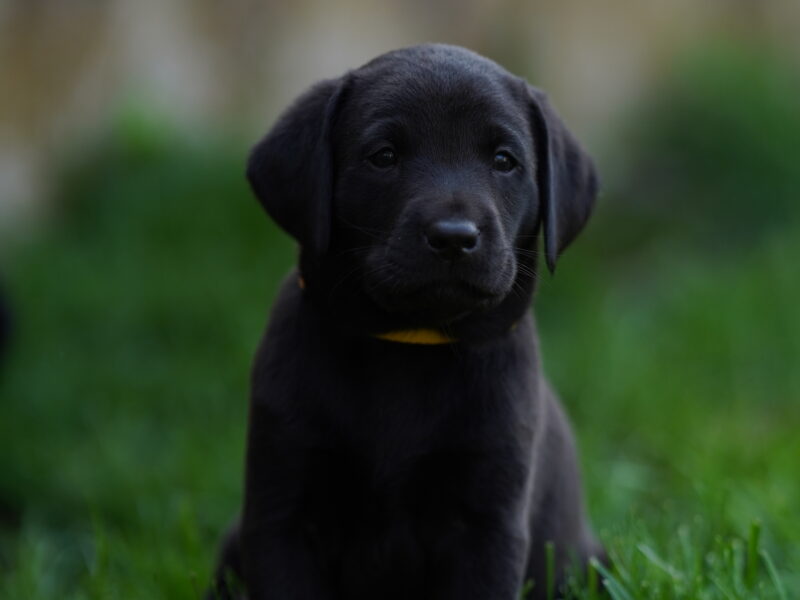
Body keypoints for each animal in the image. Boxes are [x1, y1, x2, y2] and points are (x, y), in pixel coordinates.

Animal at [209, 44, 604, 596]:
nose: (455, 236)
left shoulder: (488, 521)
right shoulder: (280, 511)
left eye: (504, 161)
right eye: (384, 156)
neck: (409, 343)